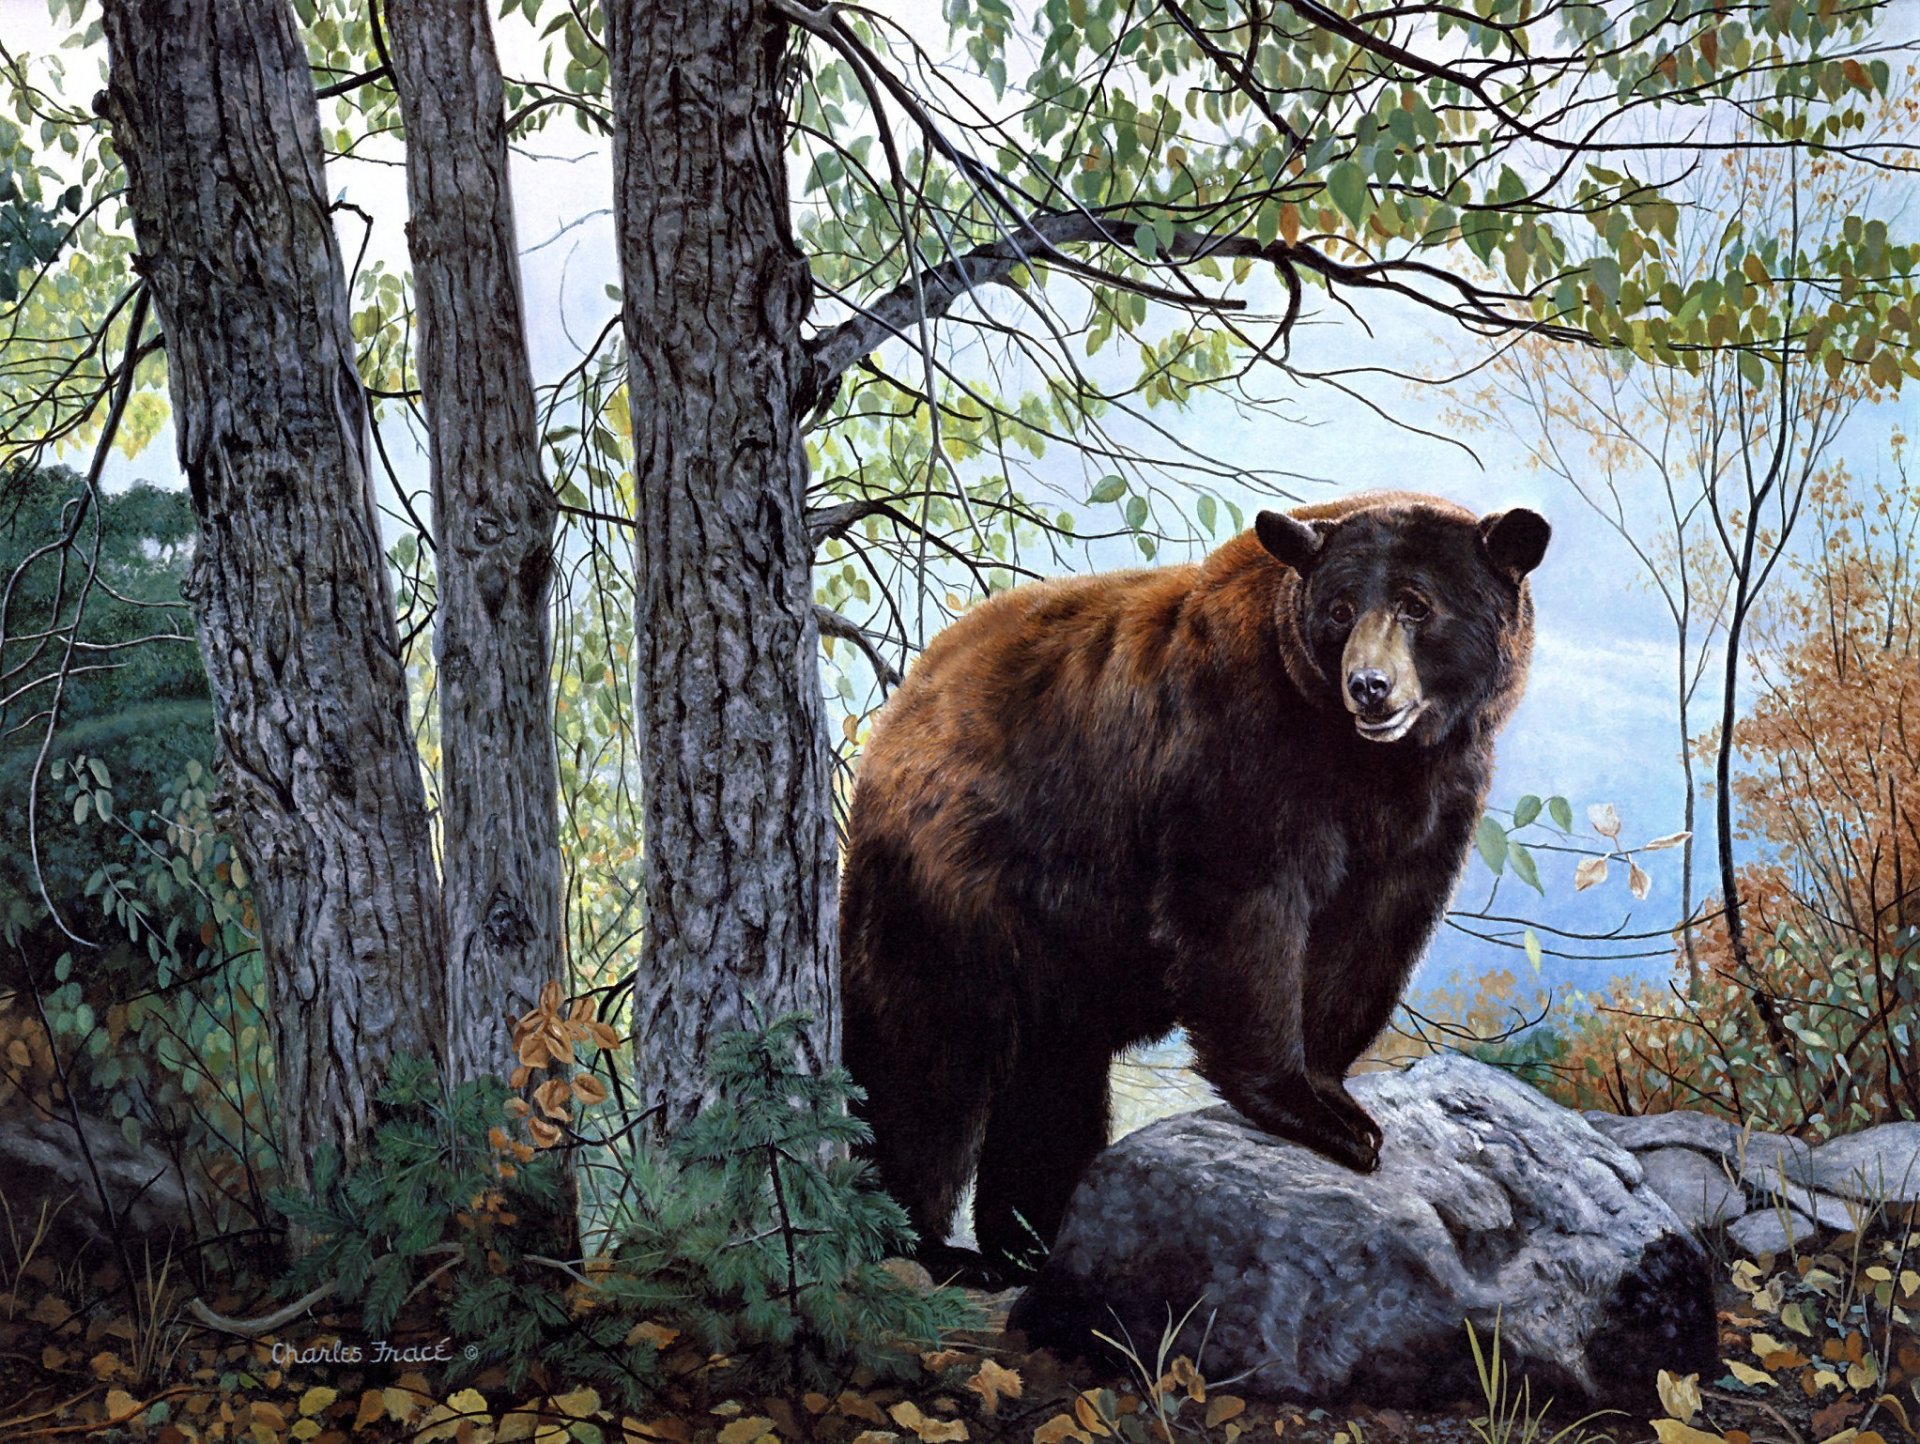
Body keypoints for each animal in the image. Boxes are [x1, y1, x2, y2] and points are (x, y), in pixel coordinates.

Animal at [838, 490, 1550, 1282]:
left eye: (1416, 605)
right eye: (1339, 610)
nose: (1369, 687)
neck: (1363, 762)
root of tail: (899, 711)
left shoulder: (1434, 801)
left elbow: (1371, 932)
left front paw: (1334, 1093)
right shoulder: (1237, 742)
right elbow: (1243, 911)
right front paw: (1310, 1111)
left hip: (1057, 944)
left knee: (1051, 1076)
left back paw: (1032, 1236)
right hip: (955, 877)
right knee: (925, 1056)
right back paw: (924, 1241)